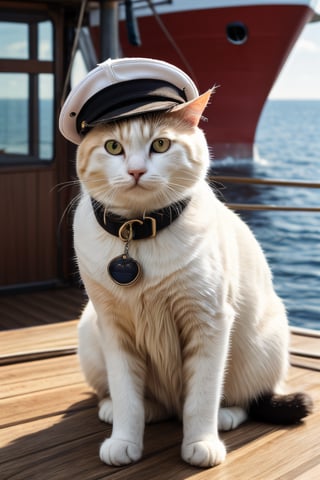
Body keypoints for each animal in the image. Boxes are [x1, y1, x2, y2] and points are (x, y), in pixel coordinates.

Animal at [74, 88, 312, 466]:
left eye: (160, 145)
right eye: (113, 147)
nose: (136, 171)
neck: (138, 233)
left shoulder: (209, 321)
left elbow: (202, 397)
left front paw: (201, 443)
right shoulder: (114, 326)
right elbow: (127, 396)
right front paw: (124, 439)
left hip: (264, 341)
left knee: (242, 399)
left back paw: (225, 416)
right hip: (89, 332)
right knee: (141, 401)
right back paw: (132, 408)